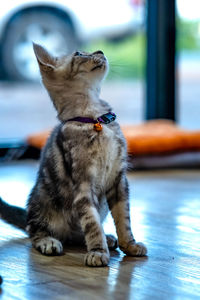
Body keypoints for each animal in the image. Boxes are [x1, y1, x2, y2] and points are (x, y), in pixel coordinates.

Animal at [0, 43, 147, 266]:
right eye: (79, 54)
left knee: (75, 233)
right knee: (34, 230)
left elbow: (124, 218)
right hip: (42, 202)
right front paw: (97, 251)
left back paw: (107, 238)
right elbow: (91, 222)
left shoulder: (119, 179)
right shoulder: (83, 185)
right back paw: (48, 241)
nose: (100, 51)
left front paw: (129, 245)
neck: (96, 118)